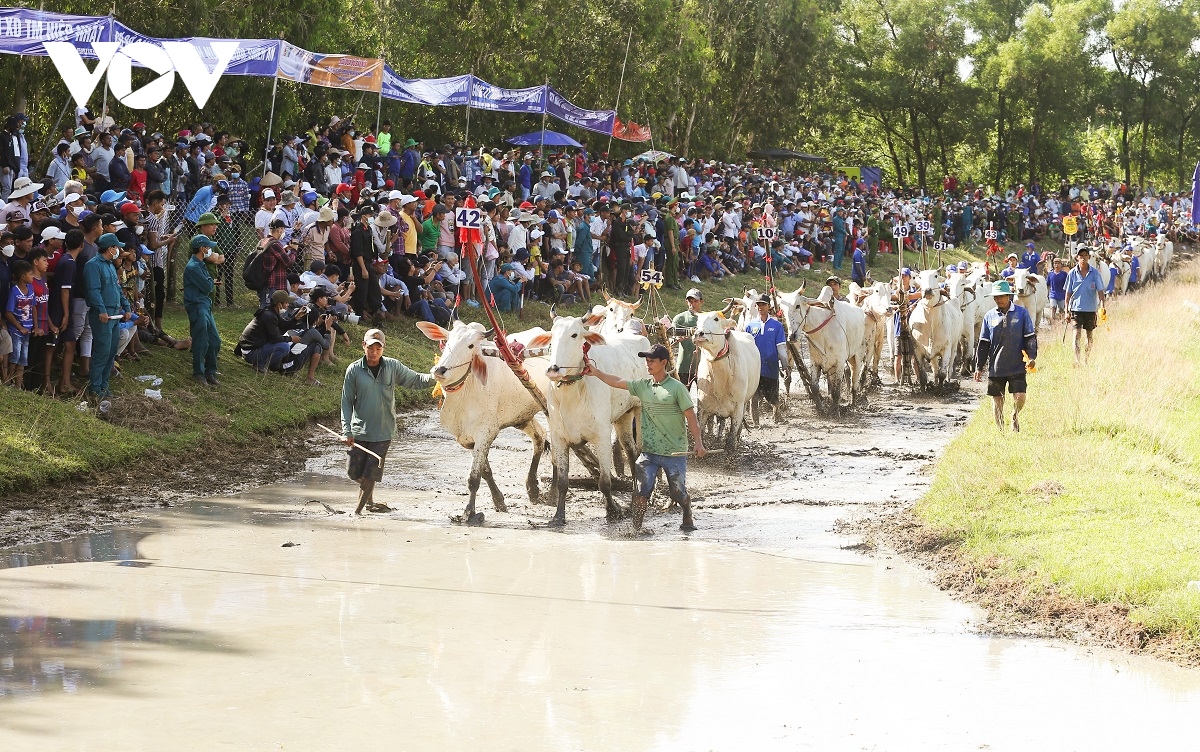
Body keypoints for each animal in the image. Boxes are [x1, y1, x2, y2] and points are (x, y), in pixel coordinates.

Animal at [420, 321, 549, 522]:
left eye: (471, 345)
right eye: (447, 340)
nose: (439, 370)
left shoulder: (486, 432)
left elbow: (474, 478)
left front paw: (469, 512)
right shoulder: (469, 439)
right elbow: (485, 471)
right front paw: (499, 501)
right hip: (523, 417)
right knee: (540, 438)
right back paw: (533, 489)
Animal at [530, 321, 652, 527]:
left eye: (574, 334)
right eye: (552, 335)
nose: (553, 369)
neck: (572, 395)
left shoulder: (602, 437)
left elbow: (604, 481)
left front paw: (612, 511)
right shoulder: (559, 438)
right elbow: (562, 482)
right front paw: (558, 516)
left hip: (641, 410)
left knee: (641, 452)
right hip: (623, 417)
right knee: (631, 452)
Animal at [696, 311, 758, 453]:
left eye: (716, 319)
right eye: (697, 321)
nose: (698, 334)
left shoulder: (738, 407)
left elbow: (731, 437)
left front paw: (730, 450)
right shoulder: (702, 407)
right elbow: (700, 431)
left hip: (745, 403)